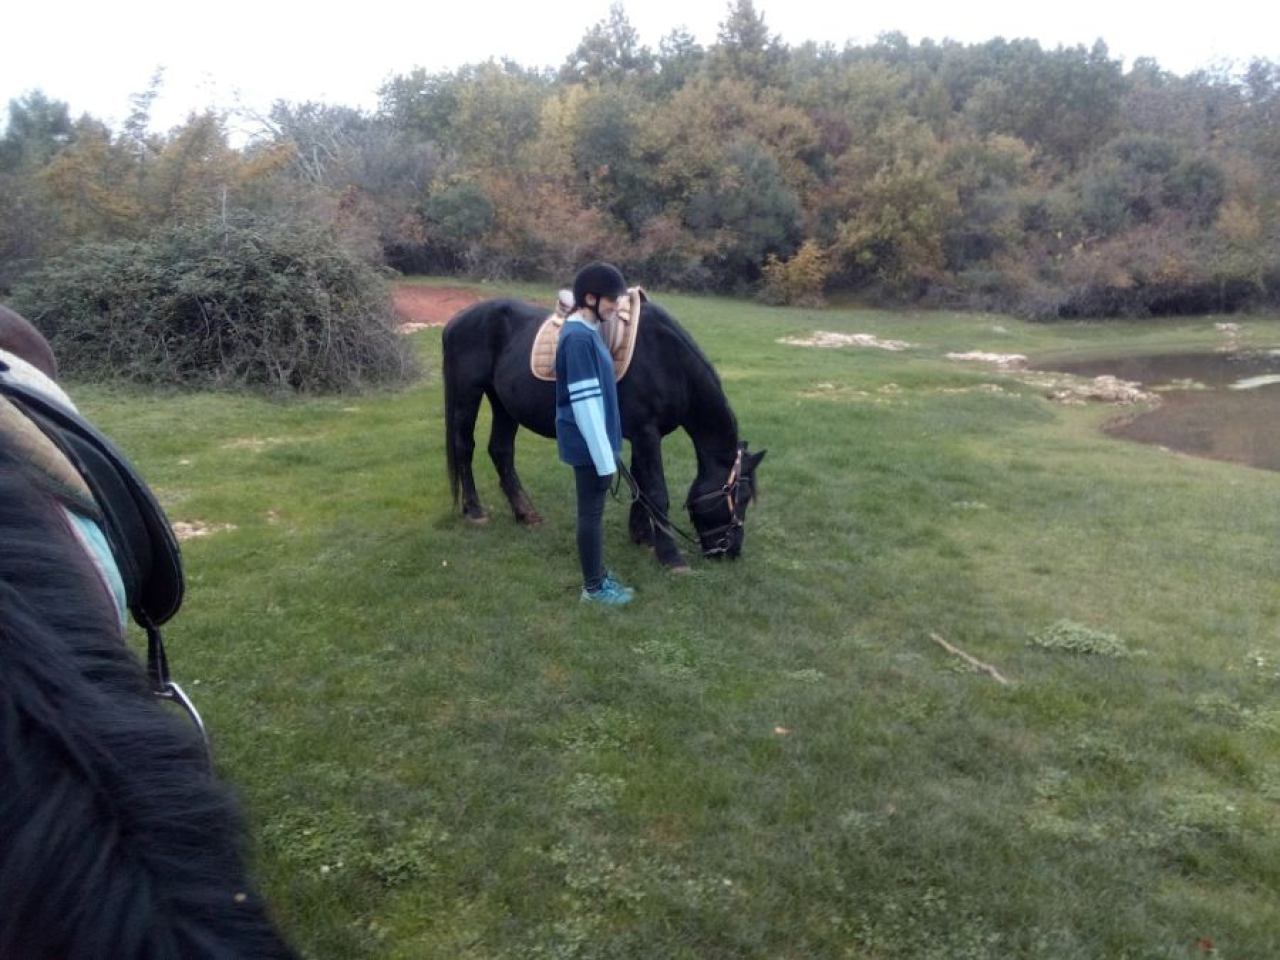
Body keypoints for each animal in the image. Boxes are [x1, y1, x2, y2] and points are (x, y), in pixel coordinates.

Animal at [442, 295, 765, 569]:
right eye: (740, 498)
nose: (731, 551)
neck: (667, 360)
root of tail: (456, 320)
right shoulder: (646, 433)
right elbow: (656, 491)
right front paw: (671, 557)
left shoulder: (644, 435)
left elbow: (641, 487)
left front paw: (643, 537)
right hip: (469, 394)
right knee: (464, 447)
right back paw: (475, 511)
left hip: (503, 403)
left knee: (501, 451)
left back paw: (526, 513)